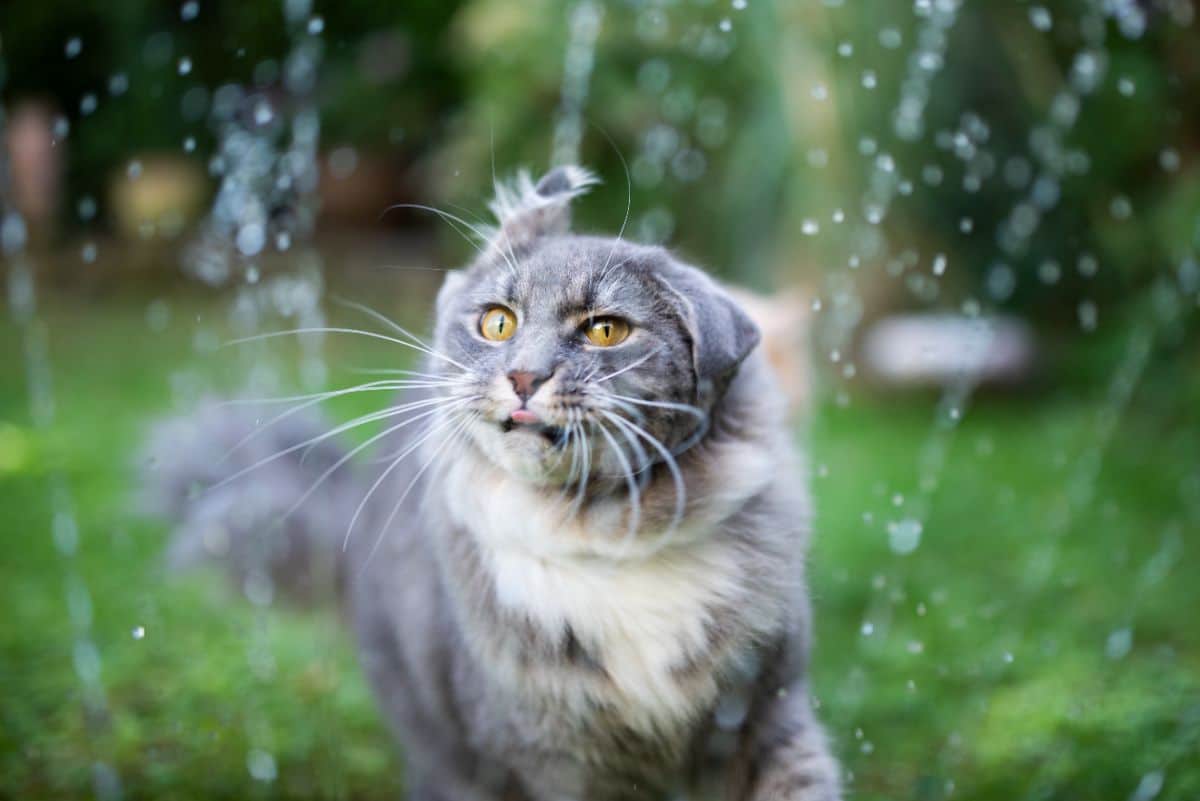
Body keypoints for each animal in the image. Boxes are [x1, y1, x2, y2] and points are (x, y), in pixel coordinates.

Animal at [147, 165, 844, 796]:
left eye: (606, 330)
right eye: (498, 323)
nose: (525, 377)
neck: (607, 534)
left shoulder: (770, 718)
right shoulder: (551, 759)